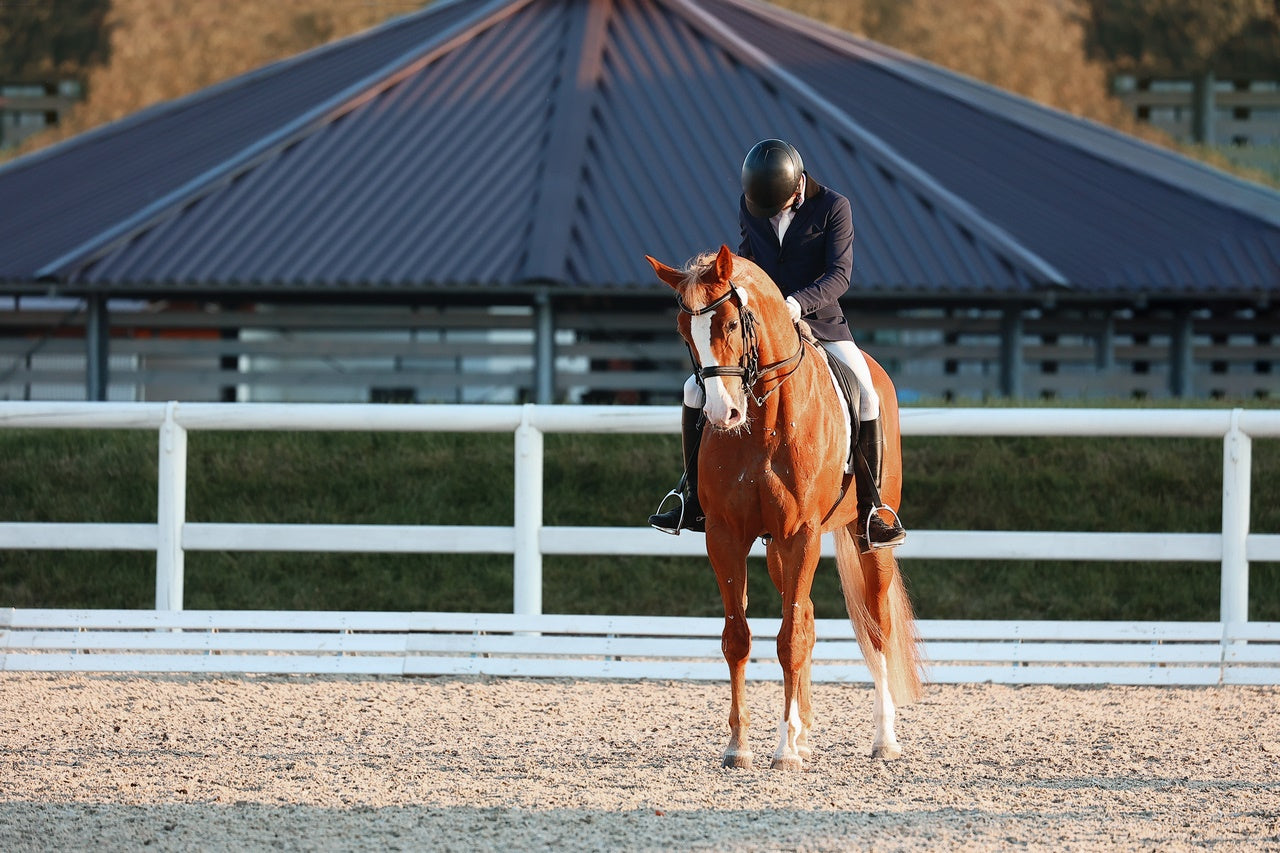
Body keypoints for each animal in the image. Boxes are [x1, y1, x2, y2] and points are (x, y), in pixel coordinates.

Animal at [645, 242, 926, 768]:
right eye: (682, 331)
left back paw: (883, 739)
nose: (722, 414)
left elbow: (790, 640)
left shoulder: (802, 534)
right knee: (809, 617)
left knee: (877, 626)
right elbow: (739, 638)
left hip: (865, 540)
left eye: (731, 325)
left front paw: (783, 753)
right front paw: (739, 746)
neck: (762, 423)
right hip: (775, 547)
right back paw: (804, 734)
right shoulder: (726, 535)